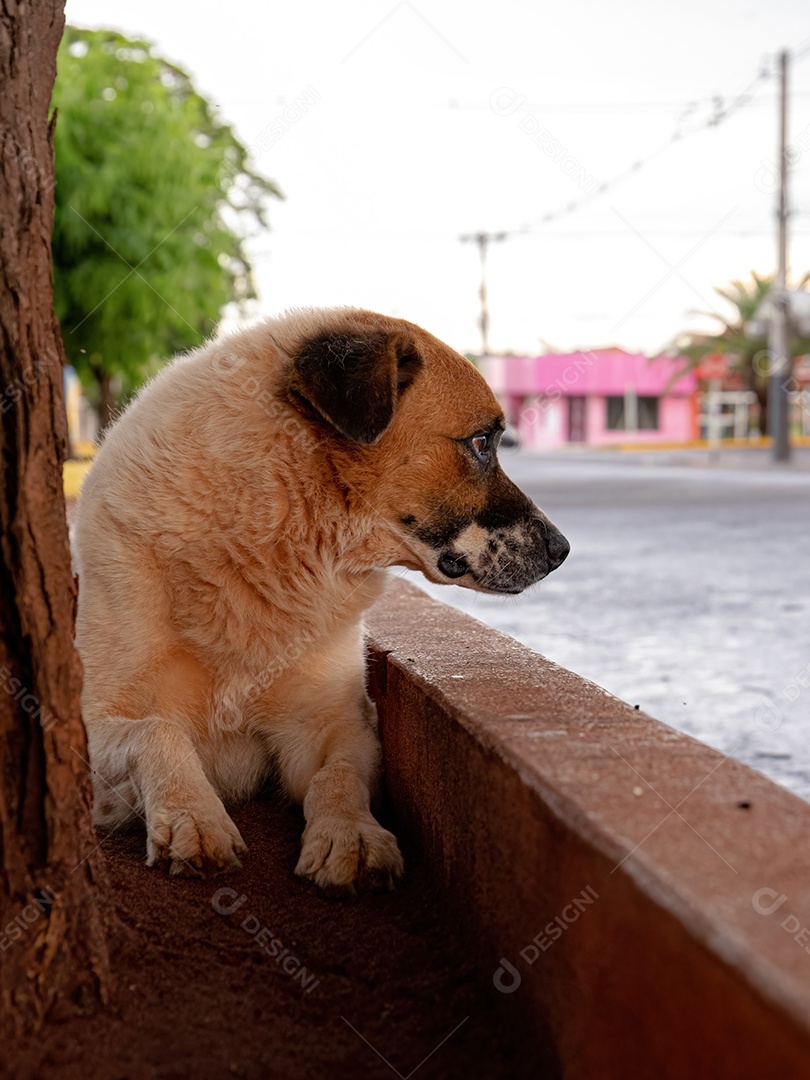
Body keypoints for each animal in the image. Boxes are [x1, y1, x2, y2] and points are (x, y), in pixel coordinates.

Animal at [76, 308, 570, 889]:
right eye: (482, 443)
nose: (562, 551)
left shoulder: (332, 726)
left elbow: (337, 775)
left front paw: (349, 835)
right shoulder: (88, 727)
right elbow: (158, 731)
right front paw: (193, 816)